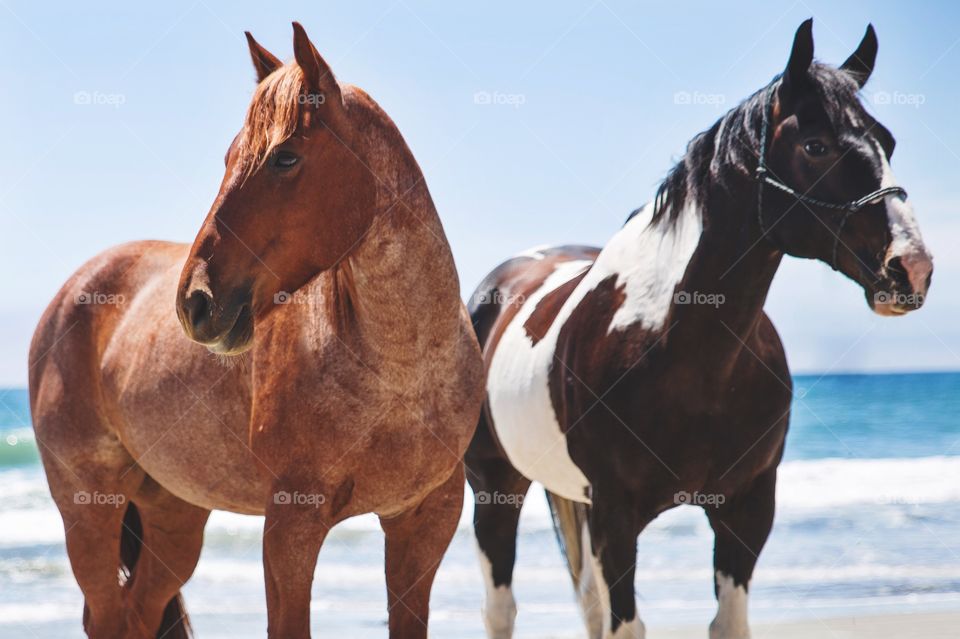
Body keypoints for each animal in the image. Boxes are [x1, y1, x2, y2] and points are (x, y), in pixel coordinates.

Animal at [31, 22, 480, 636]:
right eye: (229, 157)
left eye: (284, 158)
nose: (195, 302)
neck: (402, 375)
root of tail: (72, 294)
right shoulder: (290, 527)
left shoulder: (425, 523)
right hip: (87, 507)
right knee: (106, 614)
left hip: (173, 514)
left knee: (140, 610)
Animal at [468, 20, 932, 639]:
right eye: (816, 145)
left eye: (888, 142)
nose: (912, 268)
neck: (682, 352)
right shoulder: (616, 516)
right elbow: (626, 624)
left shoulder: (747, 510)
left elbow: (725, 622)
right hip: (495, 487)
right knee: (502, 608)